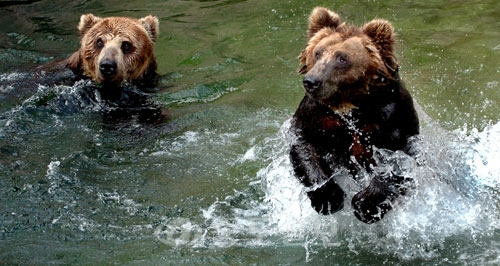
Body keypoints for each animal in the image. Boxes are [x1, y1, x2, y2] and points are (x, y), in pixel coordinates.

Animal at [292, 7, 420, 223]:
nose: (312, 81)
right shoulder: (317, 115)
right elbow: (303, 145)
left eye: (342, 58)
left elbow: (402, 160)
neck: (349, 105)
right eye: (317, 53)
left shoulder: (392, 116)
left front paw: (365, 203)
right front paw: (328, 198)